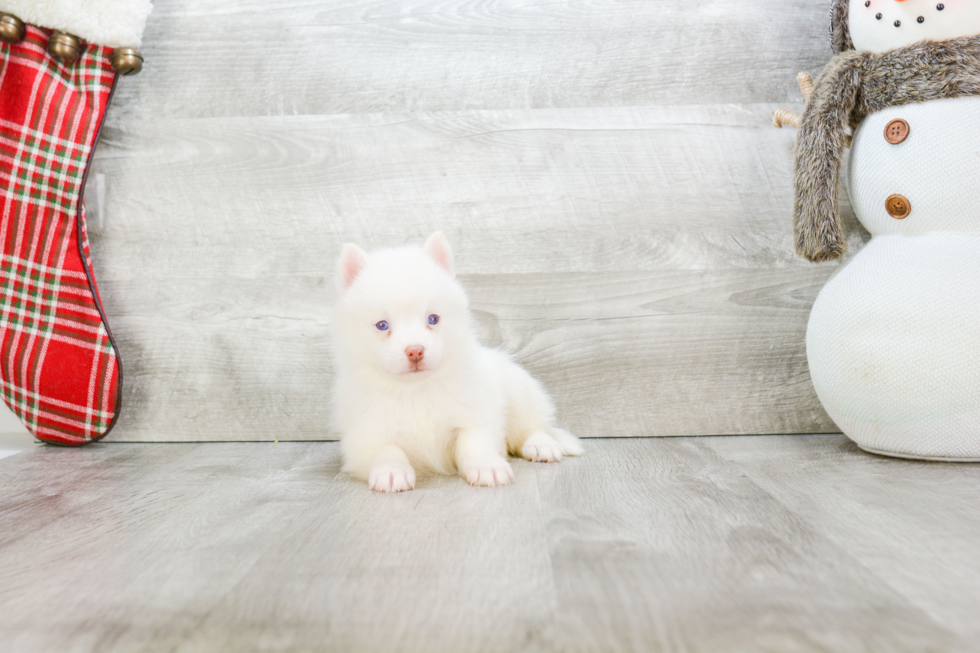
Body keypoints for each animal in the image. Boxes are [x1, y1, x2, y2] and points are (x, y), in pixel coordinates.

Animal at [334, 232, 580, 492]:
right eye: (382, 325)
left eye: (433, 319)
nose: (415, 351)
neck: (417, 389)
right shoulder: (365, 439)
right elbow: (387, 451)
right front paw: (391, 471)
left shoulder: (476, 414)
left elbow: (474, 443)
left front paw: (486, 466)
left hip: (518, 389)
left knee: (533, 426)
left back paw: (541, 445)